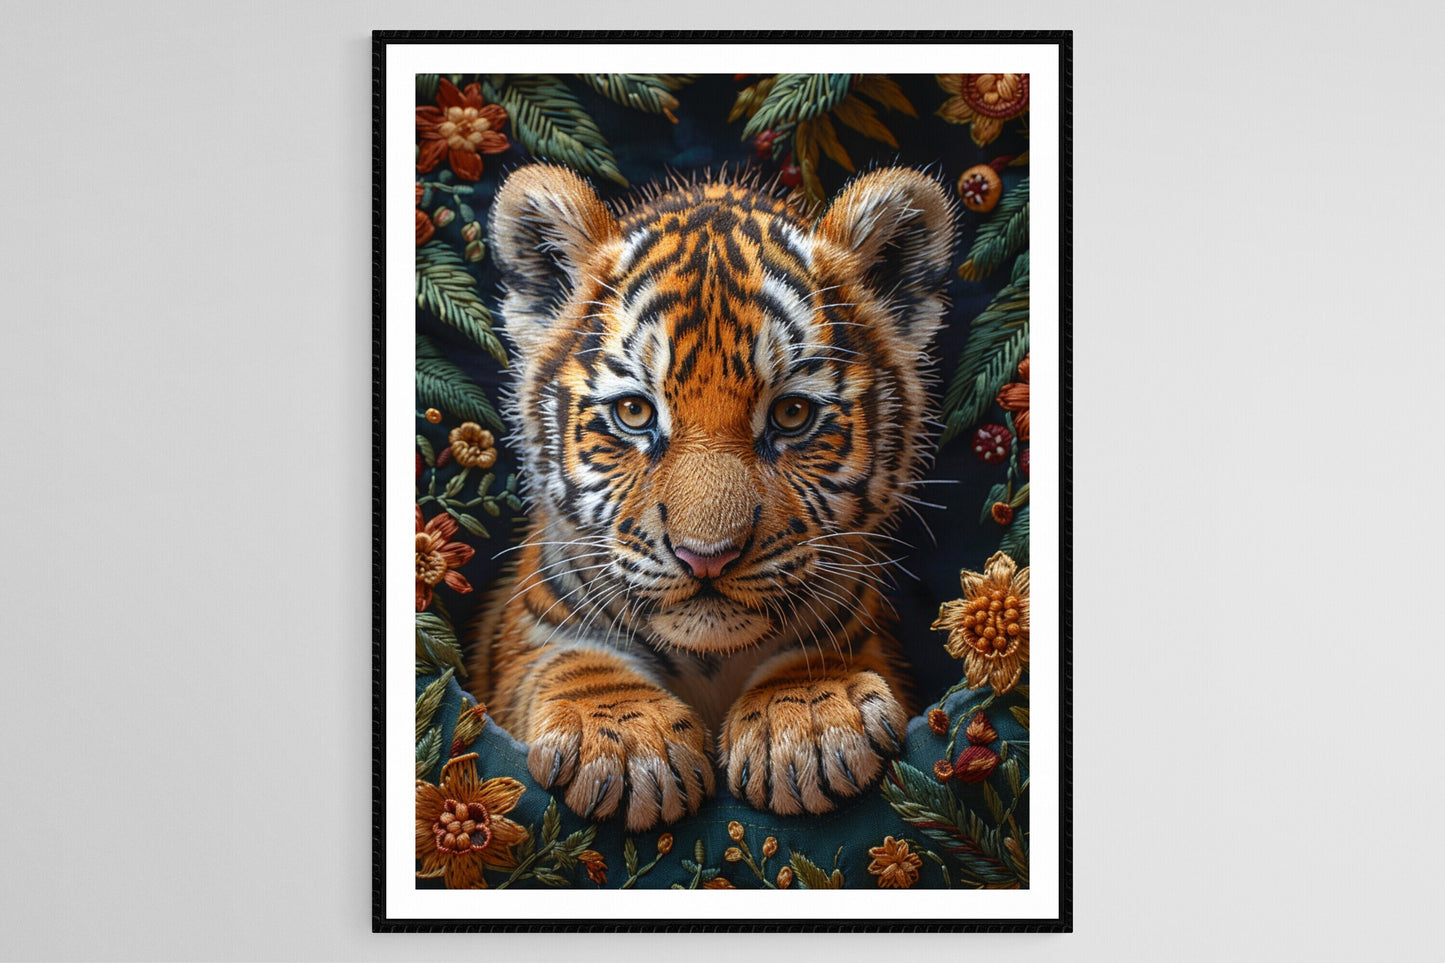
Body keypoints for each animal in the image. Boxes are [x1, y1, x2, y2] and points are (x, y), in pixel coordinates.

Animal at [465, 162, 956, 832]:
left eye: (792, 414)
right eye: (635, 412)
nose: (706, 558)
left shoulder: (865, 633)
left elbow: (828, 654)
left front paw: (809, 717)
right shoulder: (527, 638)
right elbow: (566, 662)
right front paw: (625, 743)